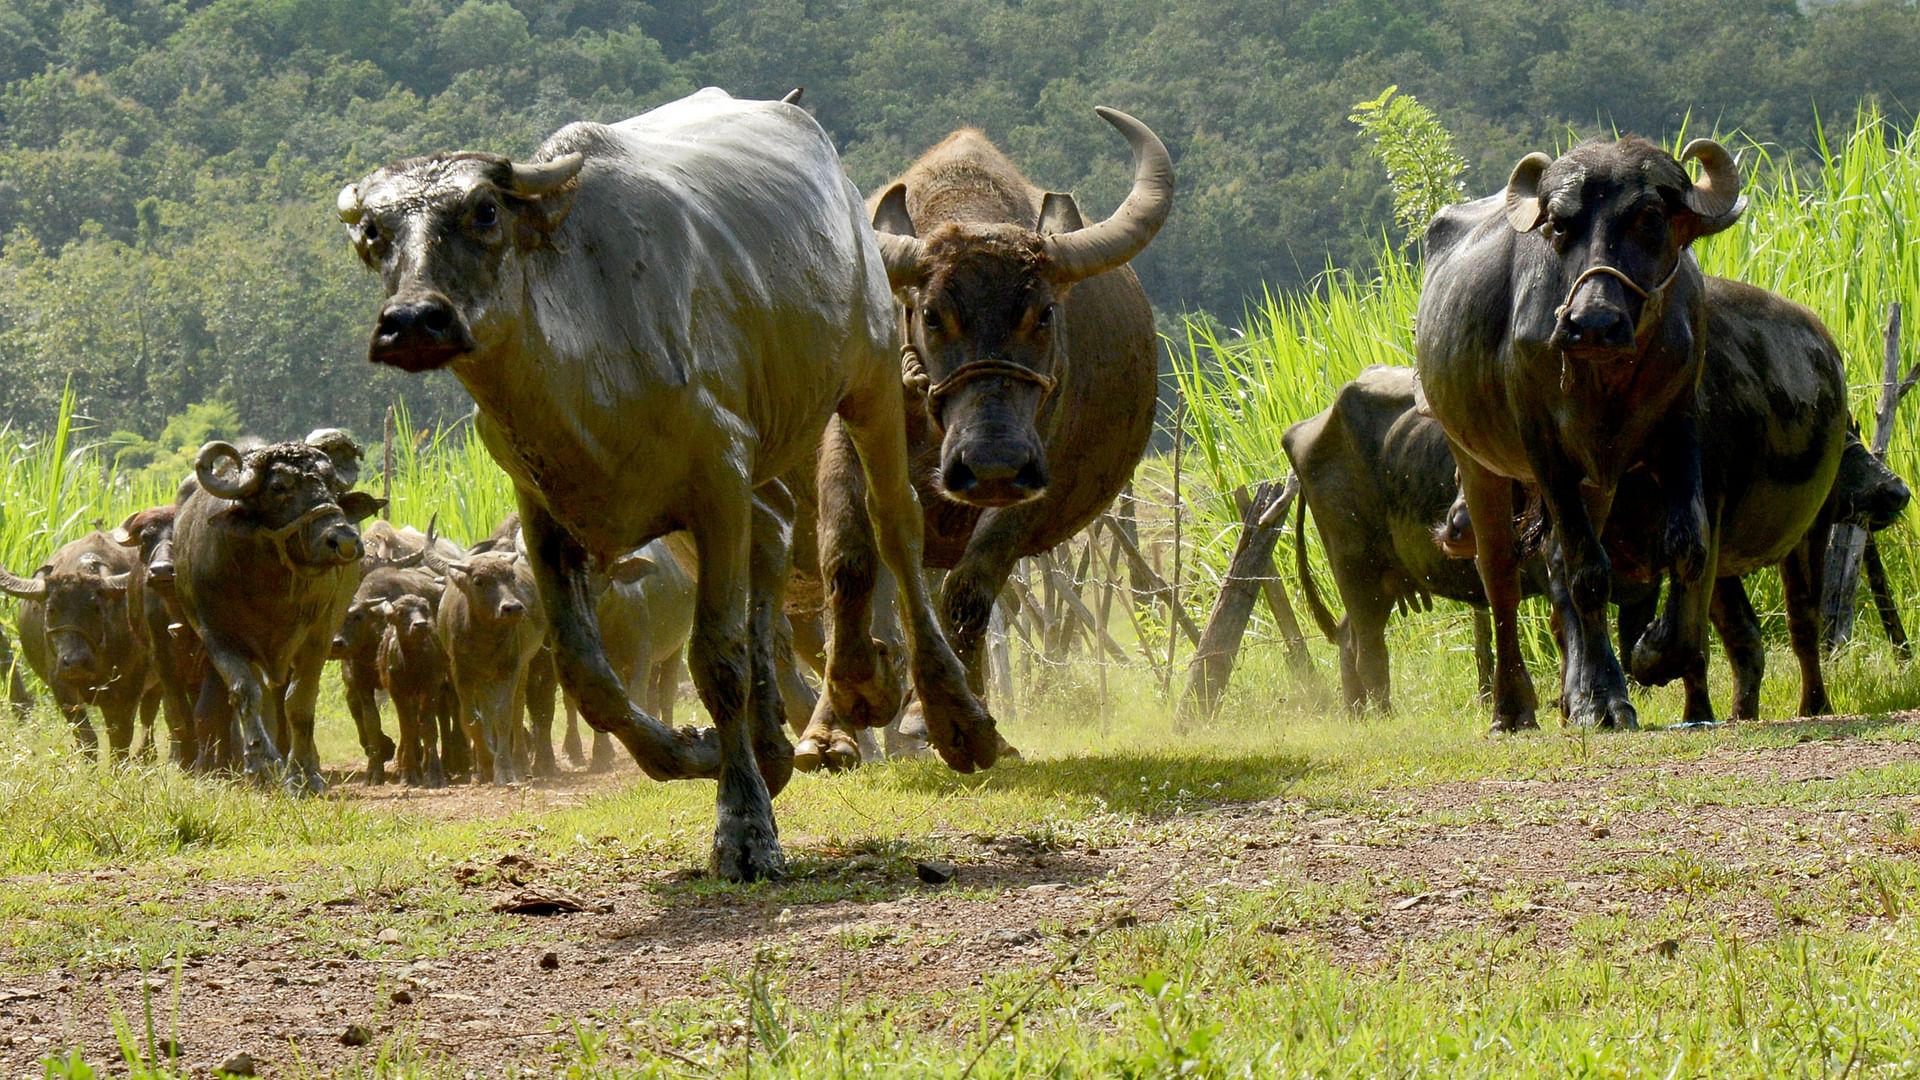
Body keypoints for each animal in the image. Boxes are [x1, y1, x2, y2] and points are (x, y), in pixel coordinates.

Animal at [2, 530, 159, 753]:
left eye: (96, 608)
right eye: (51, 609)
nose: (75, 662)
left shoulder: (128, 688)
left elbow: (120, 738)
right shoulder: (61, 686)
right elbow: (87, 738)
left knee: (149, 718)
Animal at [172, 438, 382, 791]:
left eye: (330, 484)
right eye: (279, 486)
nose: (344, 540)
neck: (268, 585)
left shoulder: (319, 635)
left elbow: (299, 703)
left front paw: (303, 774)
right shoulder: (218, 637)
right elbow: (245, 693)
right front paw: (261, 764)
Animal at [339, 84, 998, 876]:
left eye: (485, 210)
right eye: (374, 231)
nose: (413, 321)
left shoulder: (717, 474)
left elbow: (718, 658)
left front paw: (744, 828)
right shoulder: (546, 515)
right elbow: (591, 679)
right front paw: (698, 751)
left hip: (868, 379)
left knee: (892, 522)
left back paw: (939, 711)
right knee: (776, 534)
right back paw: (775, 743)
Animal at [791, 107, 1175, 764]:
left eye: (1043, 314)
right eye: (931, 314)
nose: (992, 462)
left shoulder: (1038, 473)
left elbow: (970, 590)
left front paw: (951, 719)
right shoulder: (847, 436)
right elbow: (847, 556)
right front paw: (857, 695)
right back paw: (832, 730)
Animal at [1413, 132, 1743, 722]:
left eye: (1649, 218)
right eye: (1560, 225)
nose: (1591, 323)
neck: (1608, 380)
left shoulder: (1678, 427)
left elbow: (1689, 544)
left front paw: (1656, 654)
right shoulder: (1547, 452)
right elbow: (1590, 573)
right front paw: (1608, 698)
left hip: (1597, 484)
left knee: (1558, 569)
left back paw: (1577, 694)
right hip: (1475, 459)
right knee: (1501, 576)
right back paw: (1514, 707)